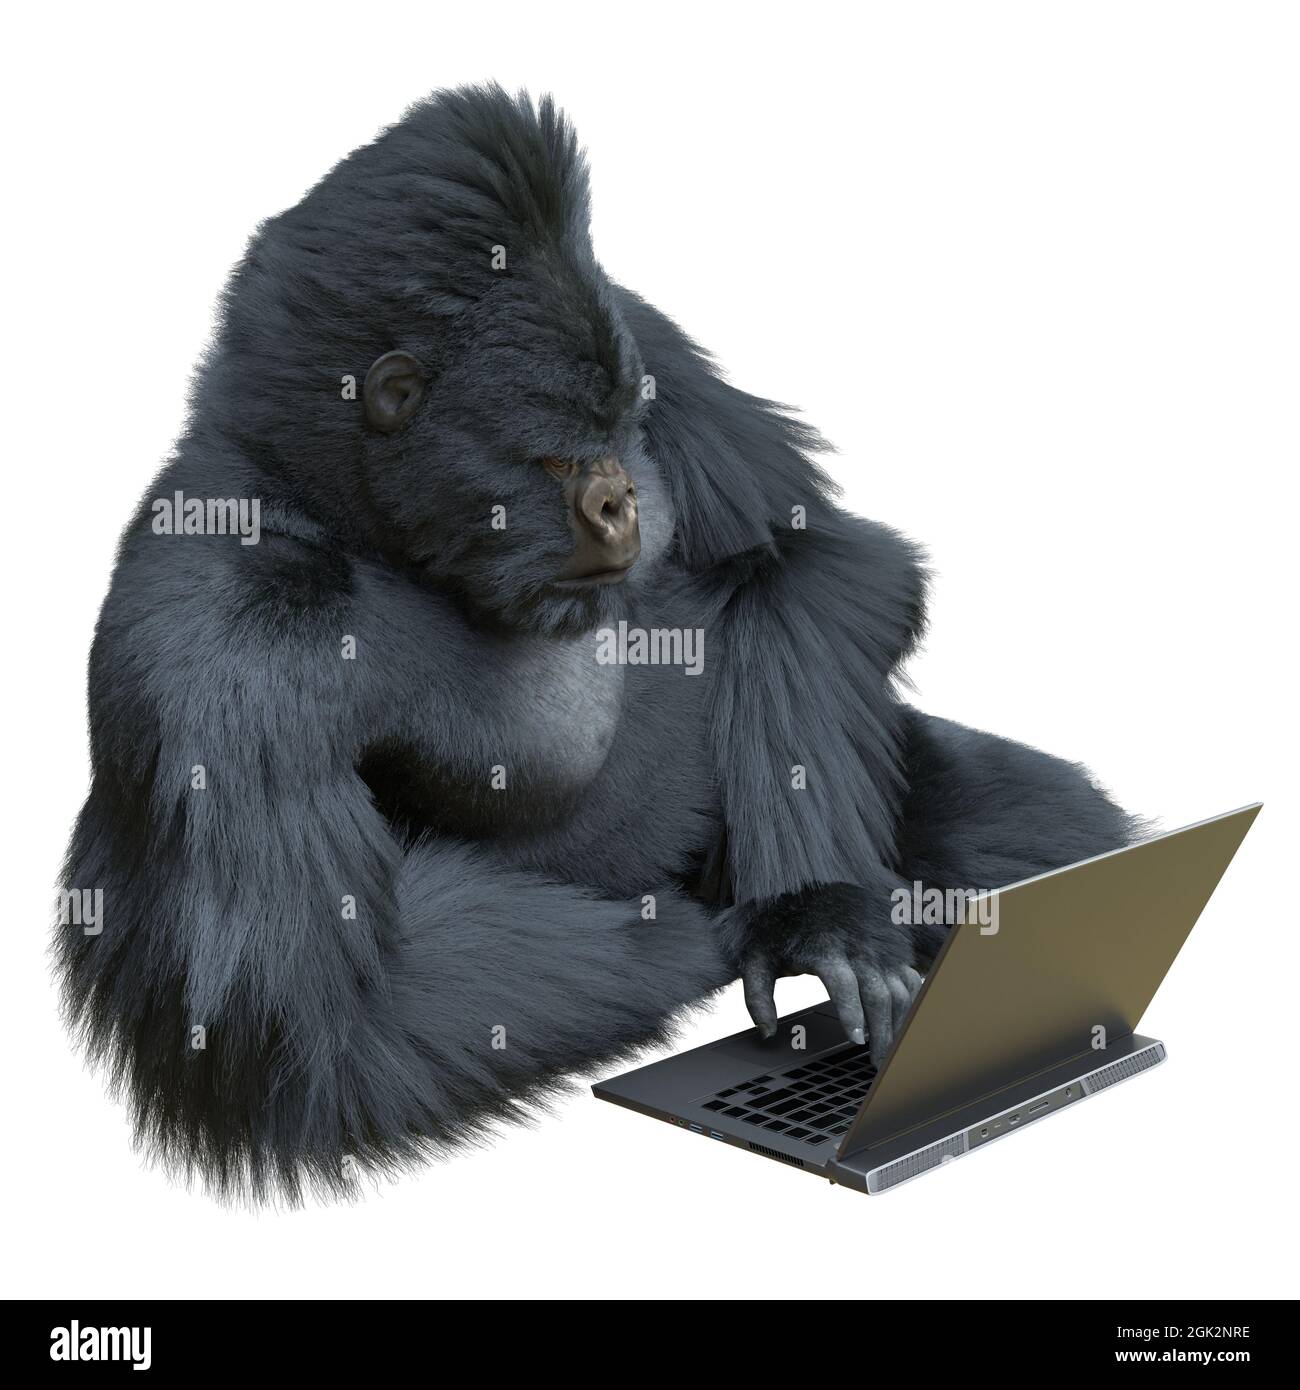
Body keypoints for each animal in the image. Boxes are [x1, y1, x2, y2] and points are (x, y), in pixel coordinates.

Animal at [58, 85, 1138, 1202]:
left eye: (617, 429)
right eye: (561, 452)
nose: (621, 498)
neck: (351, 511)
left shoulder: (643, 336)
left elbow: (813, 556)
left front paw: (816, 911)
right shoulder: (216, 624)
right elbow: (330, 1030)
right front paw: (738, 927)